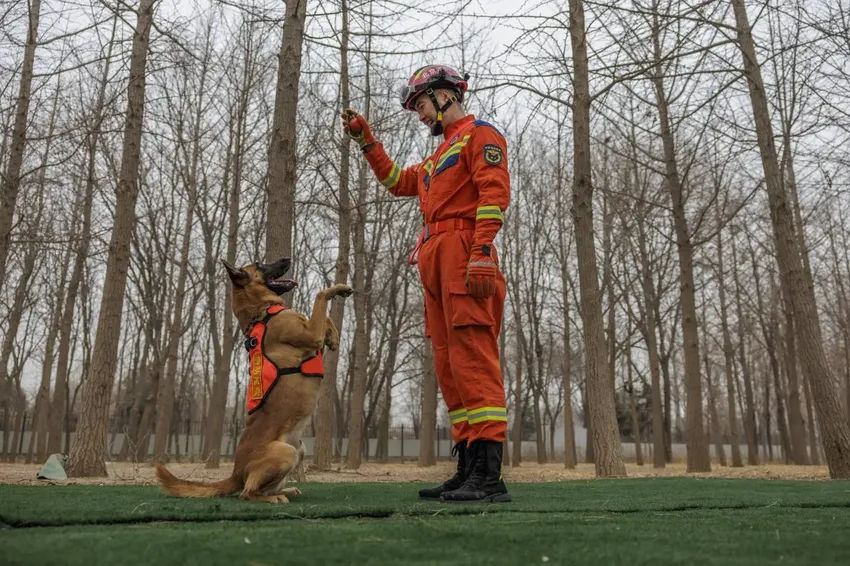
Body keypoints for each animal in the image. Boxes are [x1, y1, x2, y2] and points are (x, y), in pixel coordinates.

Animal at [154, 258, 350, 506]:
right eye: (259, 264)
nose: (287, 259)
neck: (262, 312)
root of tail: (235, 473)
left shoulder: (312, 331)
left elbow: (325, 317)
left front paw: (333, 336)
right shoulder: (311, 334)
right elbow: (320, 296)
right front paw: (336, 289)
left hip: (298, 451)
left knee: (258, 489)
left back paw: (285, 491)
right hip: (284, 452)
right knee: (246, 493)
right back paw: (275, 498)